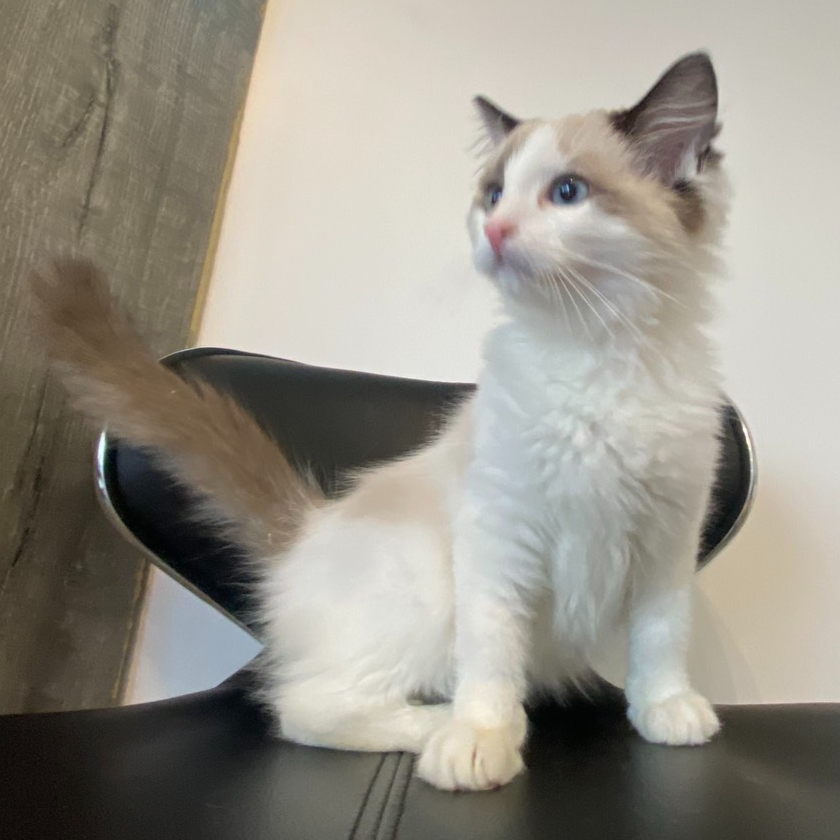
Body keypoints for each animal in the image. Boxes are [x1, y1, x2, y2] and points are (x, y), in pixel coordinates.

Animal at [32, 51, 727, 792]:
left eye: (567, 192)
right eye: (493, 195)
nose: (495, 232)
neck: (595, 354)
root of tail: (309, 527)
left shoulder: (669, 535)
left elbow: (661, 635)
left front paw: (666, 710)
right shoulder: (501, 534)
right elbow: (492, 653)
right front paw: (481, 737)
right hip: (426, 588)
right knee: (304, 708)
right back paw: (440, 724)